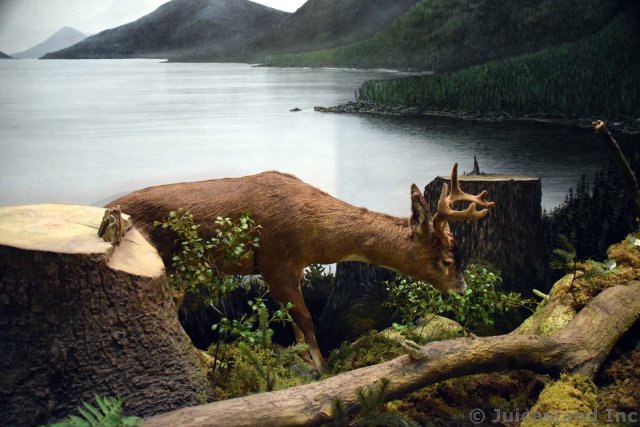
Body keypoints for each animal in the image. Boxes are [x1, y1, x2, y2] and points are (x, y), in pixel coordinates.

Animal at [107, 163, 494, 372]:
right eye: (447, 260)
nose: (463, 289)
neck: (314, 235)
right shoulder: (275, 262)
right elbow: (305, 317)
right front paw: (322, 367)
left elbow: (293, 319)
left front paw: (300, 357)